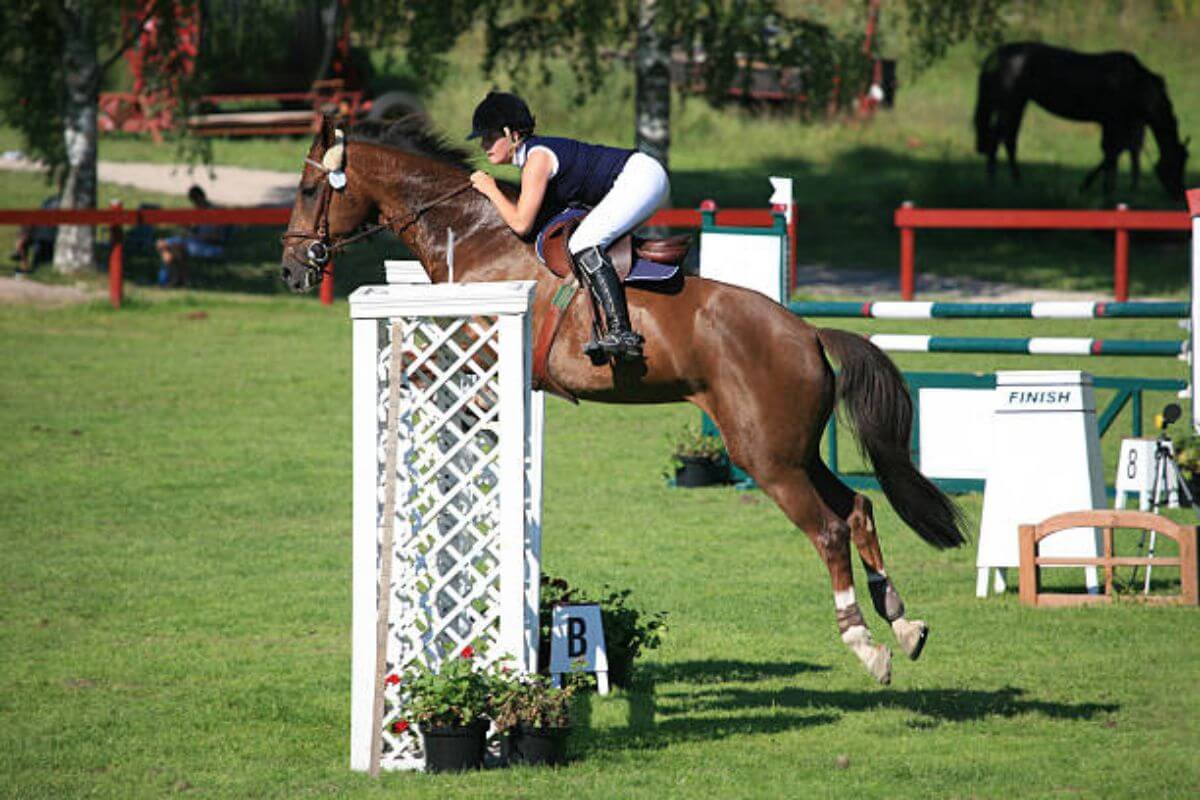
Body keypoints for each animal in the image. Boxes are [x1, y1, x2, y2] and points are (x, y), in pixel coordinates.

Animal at [280, 115, 964, 686]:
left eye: (311, 191)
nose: (291, 270)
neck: (471, 235)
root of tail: (807, 332)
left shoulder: (484, 345)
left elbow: (430, 375)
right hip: (791, 449)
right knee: (858, 509)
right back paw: (904, 623)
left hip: (767, 457)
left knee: (828, 529)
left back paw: (866, 645)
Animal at [974, 42, 1190, 201]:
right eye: (1176, 162)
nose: (1180, 195)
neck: (1135, 84)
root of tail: (997, 55)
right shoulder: (1113, 122)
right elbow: (1111, 153)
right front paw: (1101, 190)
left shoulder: (1114, 124)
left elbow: (1111, 154)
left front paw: (1097, 188)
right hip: (1010, 104)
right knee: (998, 140)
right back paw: (994, 185)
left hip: (1018, 104)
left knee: (1008, 140)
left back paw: (1016, 184)